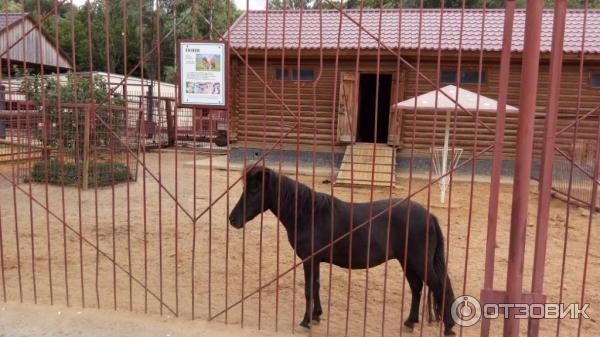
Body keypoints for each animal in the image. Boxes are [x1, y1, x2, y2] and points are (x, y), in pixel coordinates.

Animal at [229, 165, 454, 334]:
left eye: (254, 190)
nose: (233, 219)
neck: (308, 214)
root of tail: (429, 216)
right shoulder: (315, 260)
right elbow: (316, 287)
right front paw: (316, 316)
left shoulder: (309, 260)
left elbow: (309, 290)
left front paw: (305, 322)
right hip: (407, 261)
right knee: (417, 288)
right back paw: (410, 322)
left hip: (418, 261)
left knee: (439, 287)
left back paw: (449, 327)